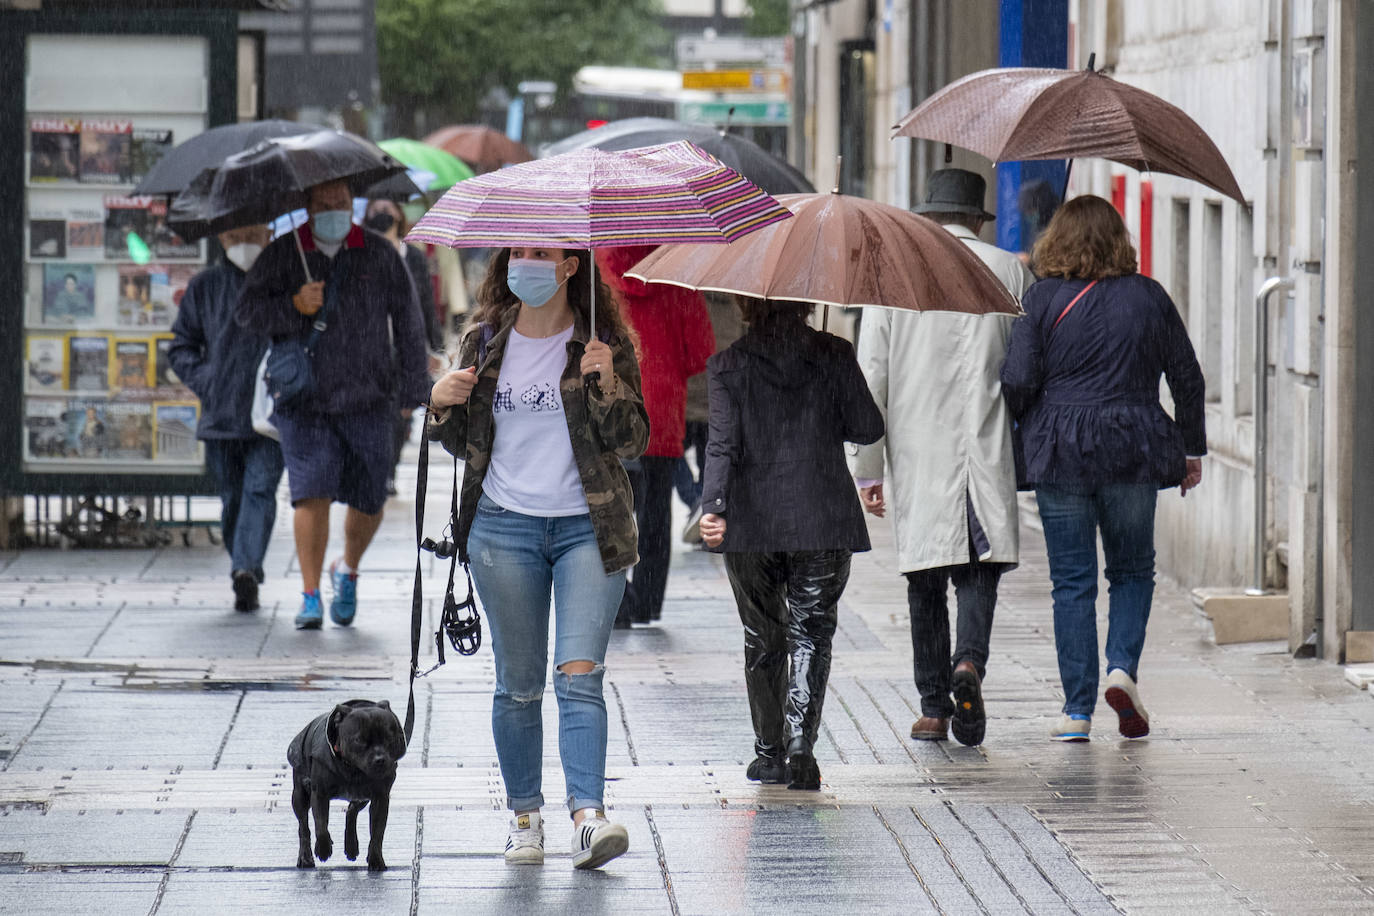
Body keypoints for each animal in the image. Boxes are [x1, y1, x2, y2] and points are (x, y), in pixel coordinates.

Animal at [284, 703, 401, 873]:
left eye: (389, 737)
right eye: (358, 740)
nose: (380, 759)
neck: (353, 770)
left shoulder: (380, 798)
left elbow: (377, 833)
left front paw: (376, 859)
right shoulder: (319, 794)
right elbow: (321, 825)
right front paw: (323, 848)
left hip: (362, 797)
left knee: (351, 811)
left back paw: (351, 847)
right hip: (300, 796)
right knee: (303, 826)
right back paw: (305, 857)